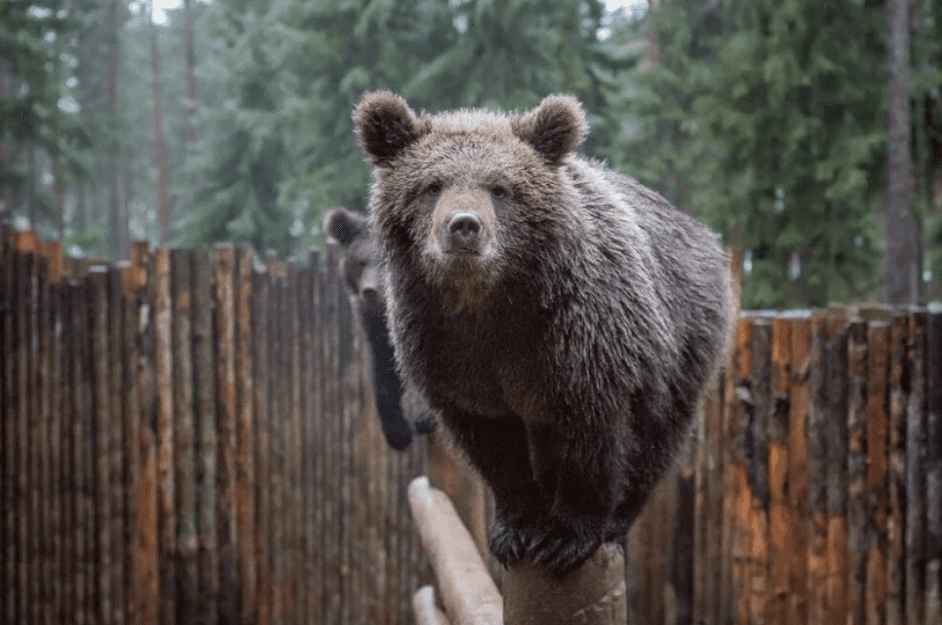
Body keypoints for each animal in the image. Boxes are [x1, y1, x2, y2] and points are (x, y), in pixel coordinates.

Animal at [354, 91, 736, 576]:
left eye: (500, 188)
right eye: (432, 185)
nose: (464, 226)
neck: (490, 304)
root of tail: (705, 234)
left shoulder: (578, 342)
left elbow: (591, 442)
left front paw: (565, 537)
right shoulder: (447, 350)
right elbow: (494, 447)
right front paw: (517, 528)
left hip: (682, 342)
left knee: (657, 436)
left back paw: (619, 517)